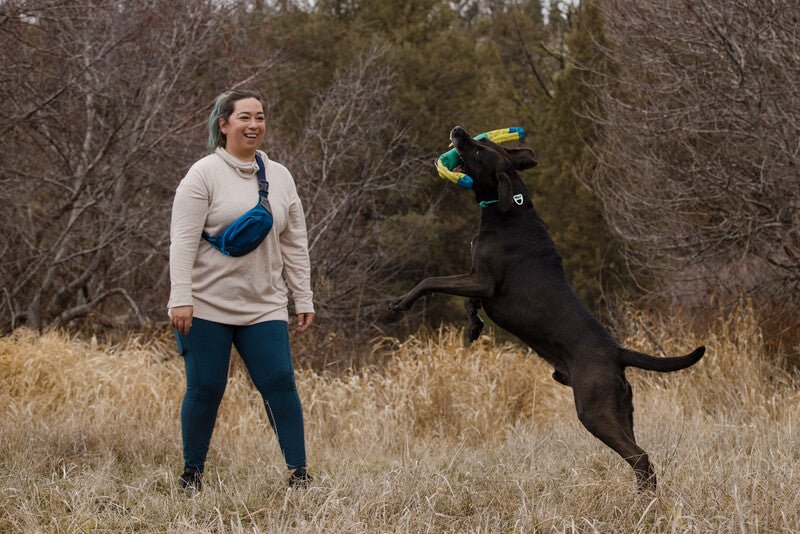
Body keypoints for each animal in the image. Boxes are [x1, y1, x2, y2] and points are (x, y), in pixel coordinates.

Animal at [390, 126, 704, 494]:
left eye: (479, 151)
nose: (458, 131)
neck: (508, 207)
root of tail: (617, 351)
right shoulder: (475, 281)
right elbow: (468, 304)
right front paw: (473, 328)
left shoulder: (481, 281)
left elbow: (432, 280)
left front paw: (402, 302)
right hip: (622, 410)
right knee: (641, 458)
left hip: (594, 411)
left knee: (639, 457)